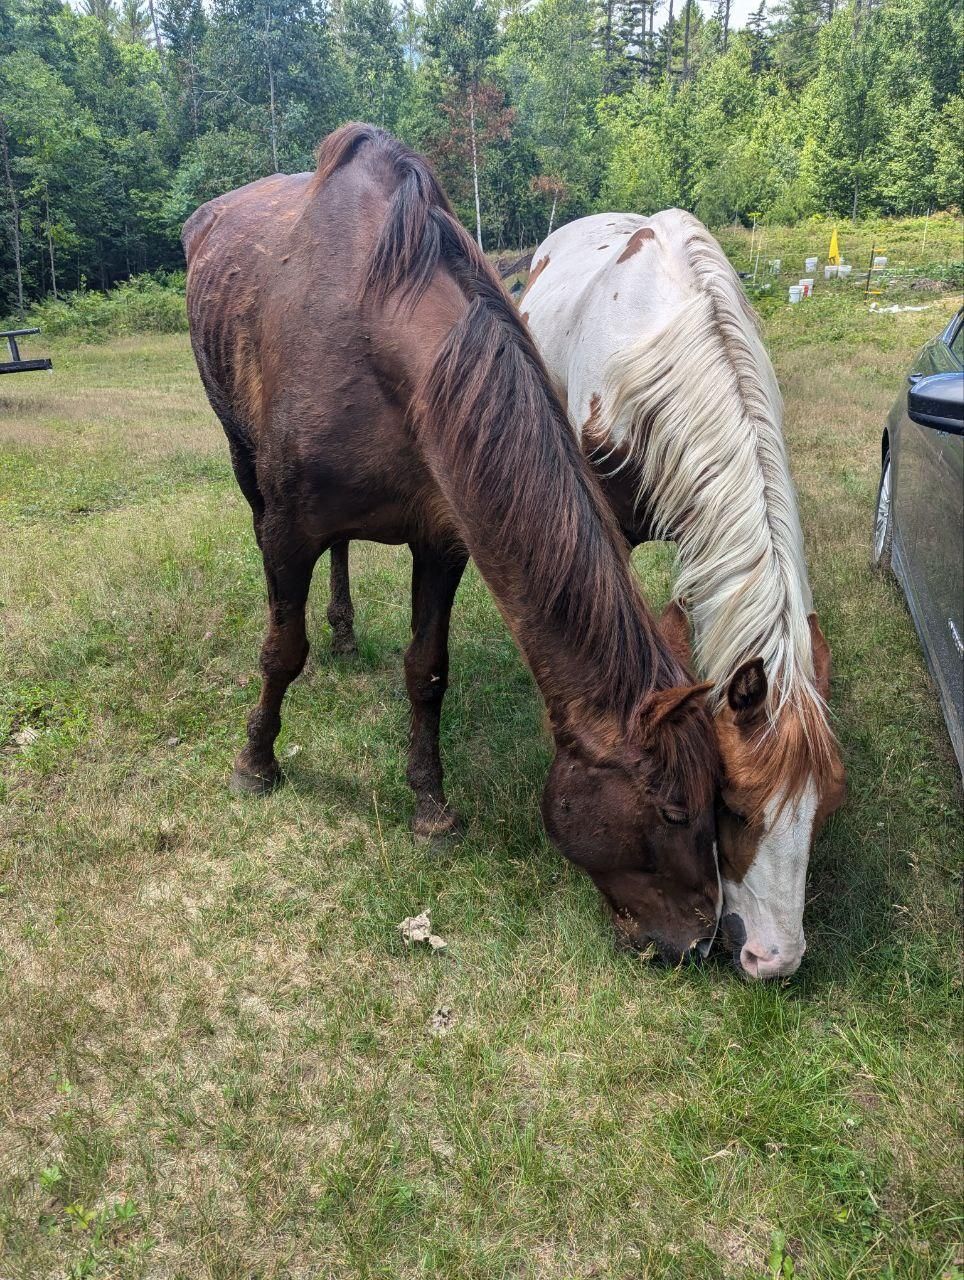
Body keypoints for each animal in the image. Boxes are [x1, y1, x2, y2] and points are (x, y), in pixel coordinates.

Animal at [182, 126, 722, 963]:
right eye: (669, 812)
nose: (698, 943)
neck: (371, 329)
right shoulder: (286, 533)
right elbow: (280, 651)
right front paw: (256, 761)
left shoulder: (442, 541)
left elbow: (427, 672)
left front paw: (431, 806)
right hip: (243, 461)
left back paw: (345, 631)